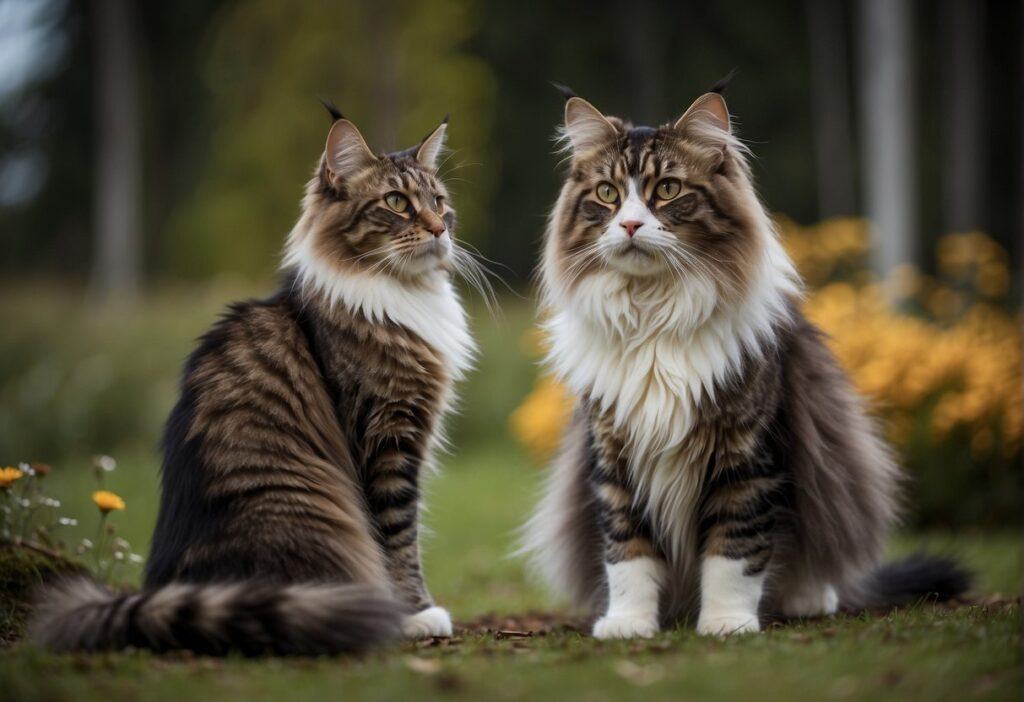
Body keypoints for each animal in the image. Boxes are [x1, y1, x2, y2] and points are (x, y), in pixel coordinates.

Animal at [29, 107, 477, 659]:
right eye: (397, 202)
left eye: (439, 202)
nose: (439, 229)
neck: (402, 294)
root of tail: (171, 587)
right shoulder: (386, 440)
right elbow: (398, 537)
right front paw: (416, 614)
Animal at [524, 85, 970, 642]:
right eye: (607, 194)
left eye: (667, 189)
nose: (628, 224)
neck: (653, 319)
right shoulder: (613, 458)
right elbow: (627, 553)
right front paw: (628, 623)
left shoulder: (747, 457)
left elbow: (734, 552)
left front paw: (726, 623)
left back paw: (807, 598)